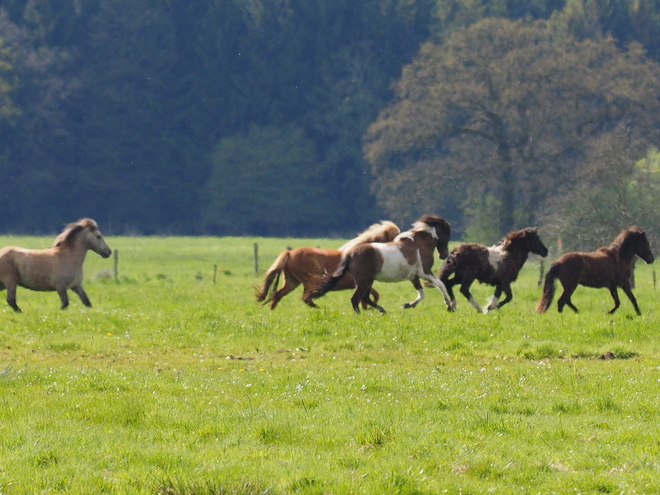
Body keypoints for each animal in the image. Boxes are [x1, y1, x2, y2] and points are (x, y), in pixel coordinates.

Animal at [255, 222, 400, 310]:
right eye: (395, 236)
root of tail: (289, 253)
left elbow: (370, 297)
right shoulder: (360, 283)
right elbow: (371, 295)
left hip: (292, 282)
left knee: (277, 296)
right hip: (310, 281)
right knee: (306, 298)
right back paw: (320, 309)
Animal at [312, 214, 452, 314]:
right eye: (447, 234)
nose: (444, 255)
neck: (419, 244)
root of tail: (349, 254)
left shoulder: (414, 276)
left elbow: (422, 294)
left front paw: (407, 305)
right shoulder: (425, 272)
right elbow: (441, 285)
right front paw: (450, 306)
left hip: (367, 281)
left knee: (364, 298)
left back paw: (381, 310)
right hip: (364, 281)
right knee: (356, 298)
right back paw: (361, 315)